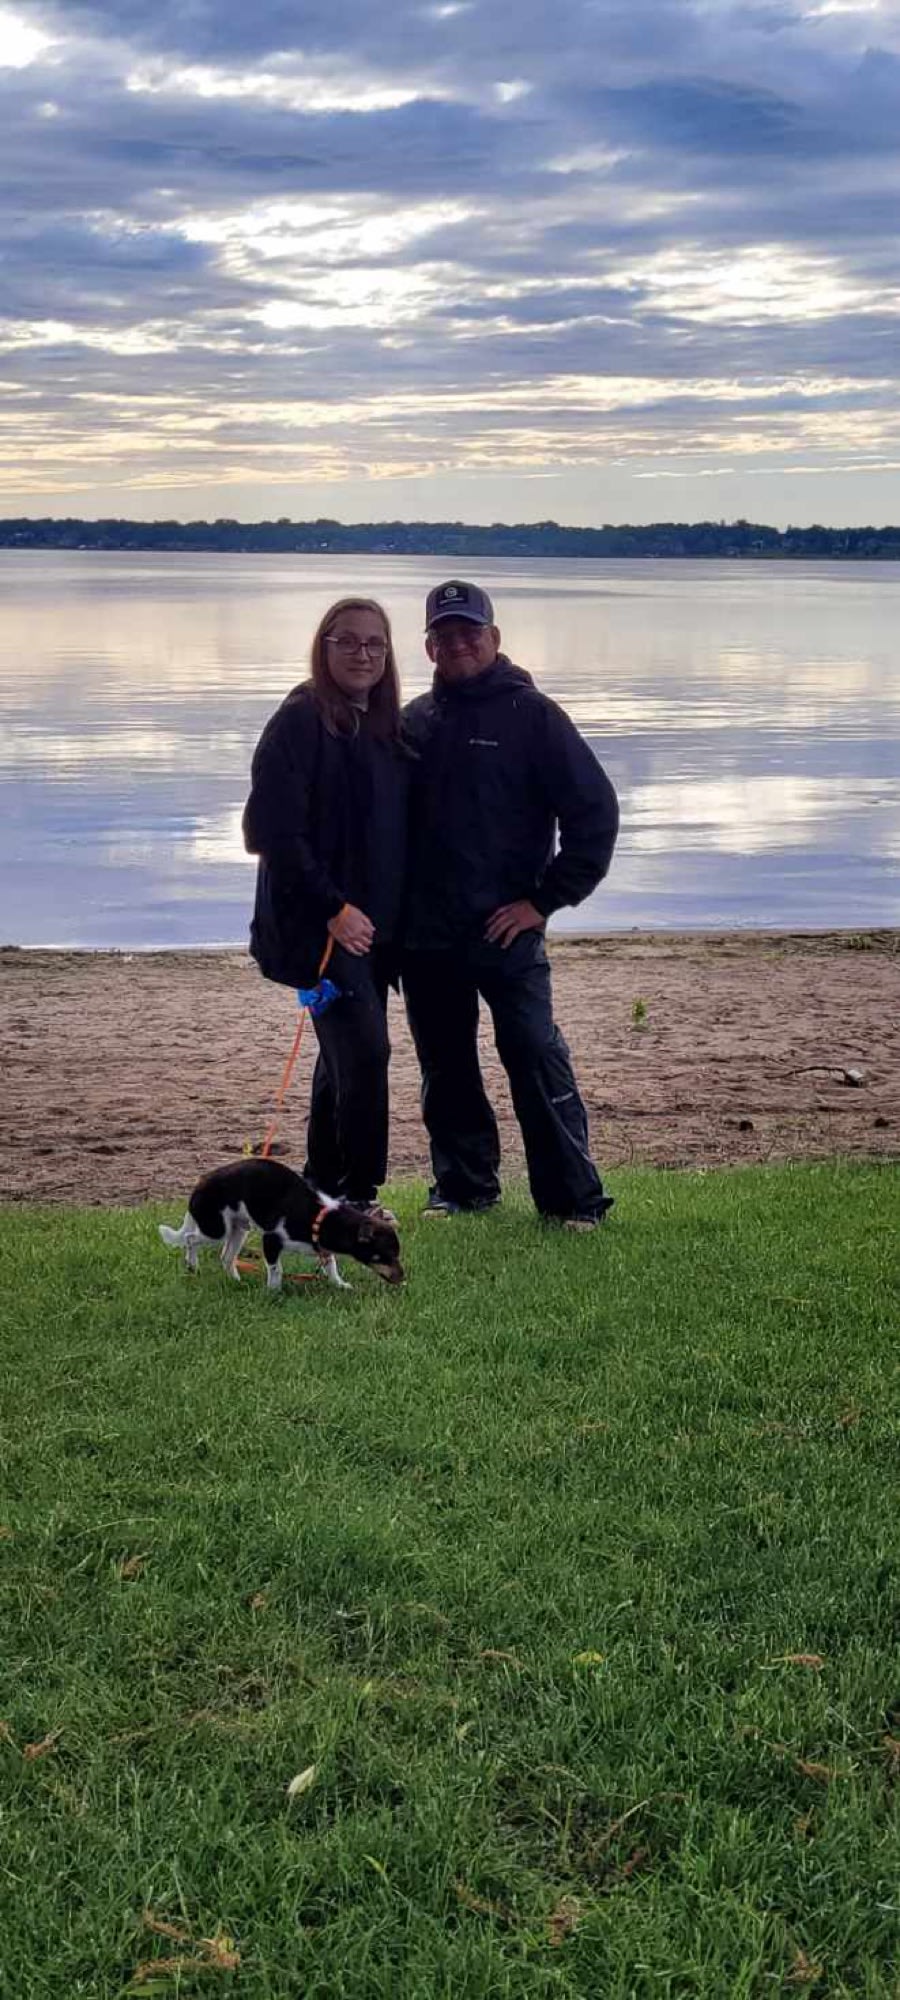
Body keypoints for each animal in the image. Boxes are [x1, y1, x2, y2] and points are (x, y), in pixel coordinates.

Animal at [159, 1158, 404, 1292]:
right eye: (383, 1257)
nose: (403, 1278)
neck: (318, 1217)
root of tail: (199, 1183)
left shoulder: (322, 1249)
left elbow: (331, 1265)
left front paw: (339, 1284)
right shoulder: (271, 1239)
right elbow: (276, 1269)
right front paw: (274, 1291)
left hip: (239, 1230)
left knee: (226, 1257)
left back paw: (236, 1281)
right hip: (216, 1229)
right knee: (190, 1238)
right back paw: (192, 1265)